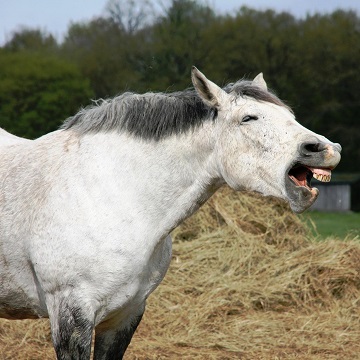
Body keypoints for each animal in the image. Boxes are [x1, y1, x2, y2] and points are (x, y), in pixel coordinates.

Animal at [0, 67, 340, 358]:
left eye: (290, 116)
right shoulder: (70, 314)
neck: (113, 194)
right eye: (248, 118)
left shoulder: (125, 315)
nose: (325, 149)